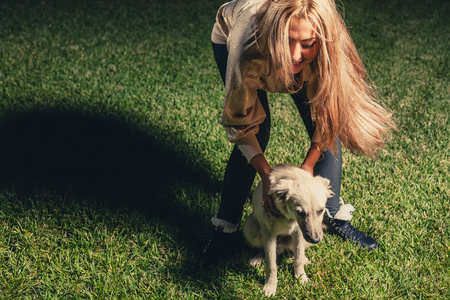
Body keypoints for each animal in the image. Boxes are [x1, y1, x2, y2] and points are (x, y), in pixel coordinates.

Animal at [243, 164, 334, 298]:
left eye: (320, 211)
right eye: (300, 212)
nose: (315, 240)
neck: (288, 216)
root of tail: (282, 246)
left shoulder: (299, 232)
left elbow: (298, 258)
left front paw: (301, 278)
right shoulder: (268, 233)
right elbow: (271, 264)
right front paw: (270, 286)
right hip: (249, 228)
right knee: (262, 249)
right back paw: (258, 258)